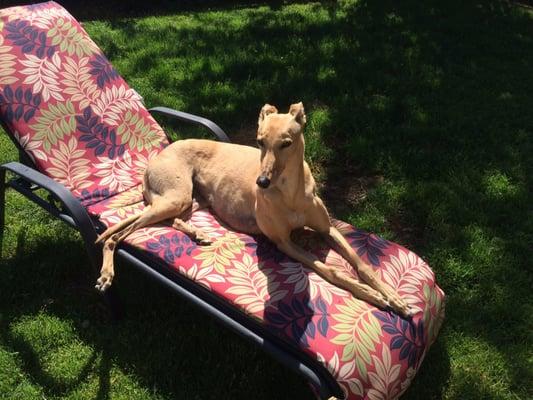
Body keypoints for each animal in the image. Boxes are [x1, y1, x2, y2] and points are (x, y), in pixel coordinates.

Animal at [94, 103, 412, 318]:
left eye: (287, 143)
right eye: (259, 141)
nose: (261, 183)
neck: (291, 193)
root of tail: (156, 157)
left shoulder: (328, 228)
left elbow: (362, 264)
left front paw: (393, 297)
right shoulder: (284, 243)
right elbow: (331, 270)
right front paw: (369, 294)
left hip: (191, 200)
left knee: (171, 220)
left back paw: (198, 233)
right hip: (174, 196)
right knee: (118, 234)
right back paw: (107, 273)